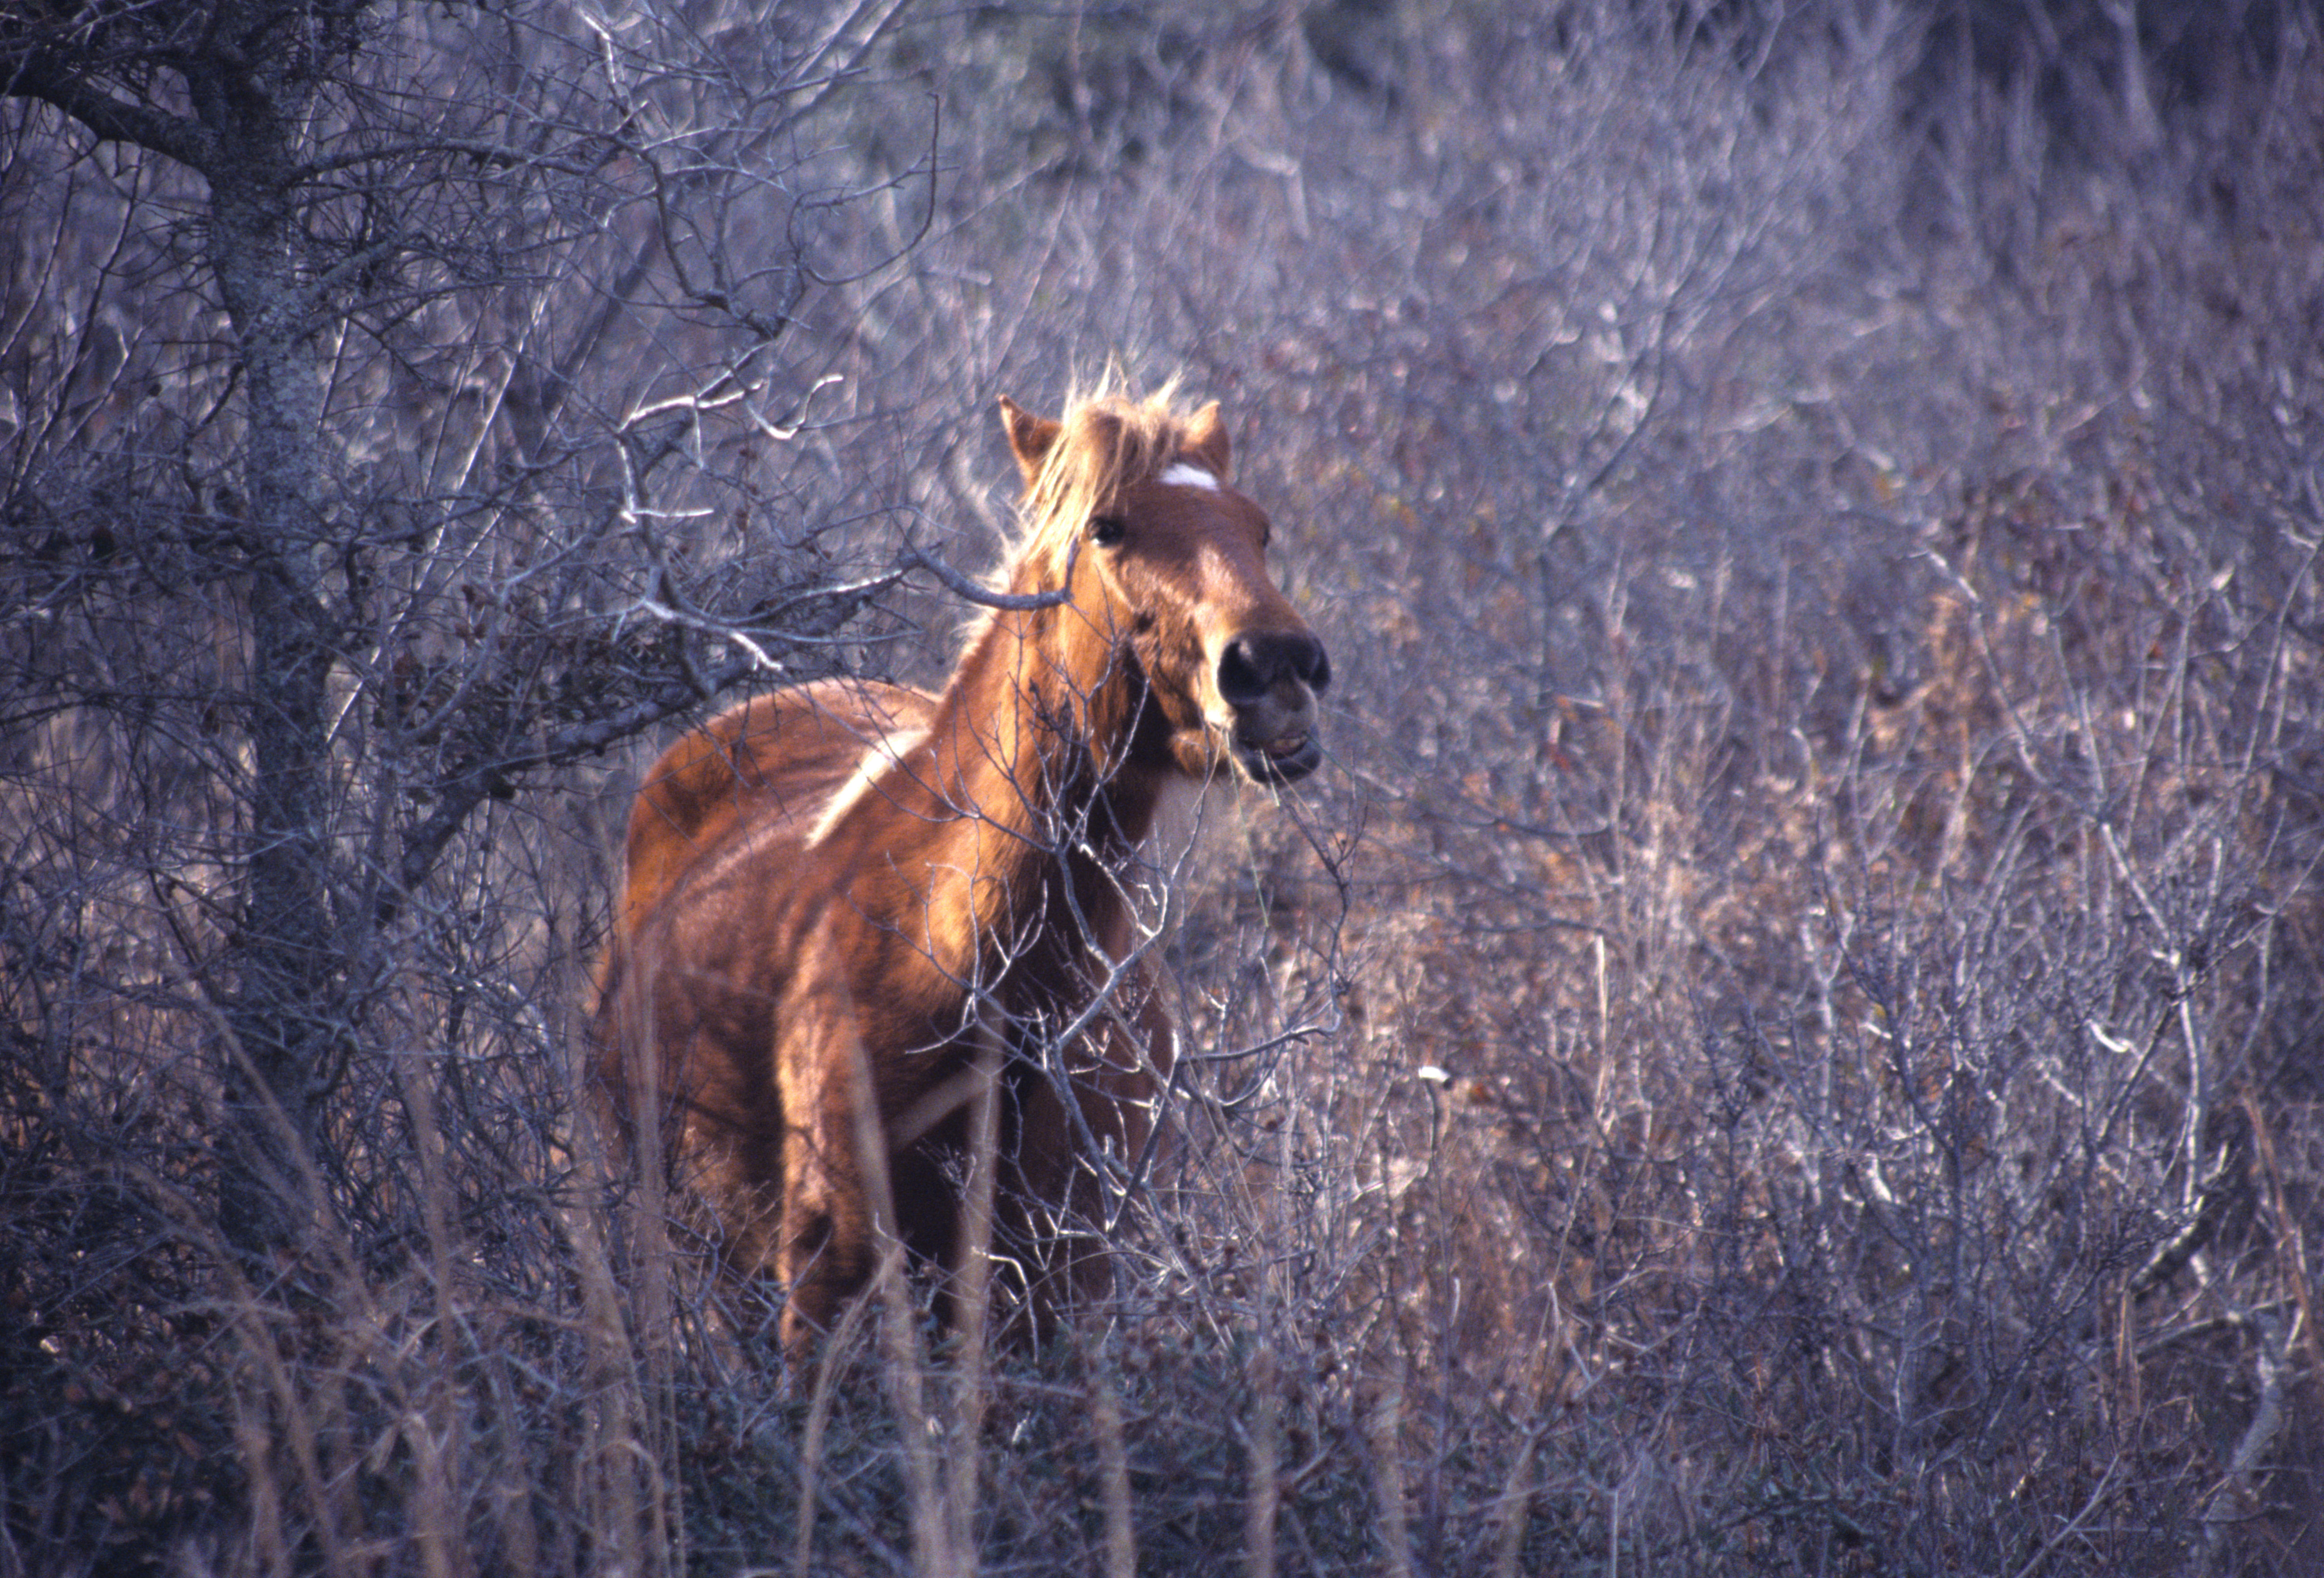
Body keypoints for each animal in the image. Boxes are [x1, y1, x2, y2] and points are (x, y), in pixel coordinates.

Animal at [590, 383, 1338, 1357]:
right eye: (1107, 527)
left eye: (1260, 529)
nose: (1278, 669)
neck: (960, 964)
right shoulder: (825, 1287)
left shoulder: (1064, 1290)